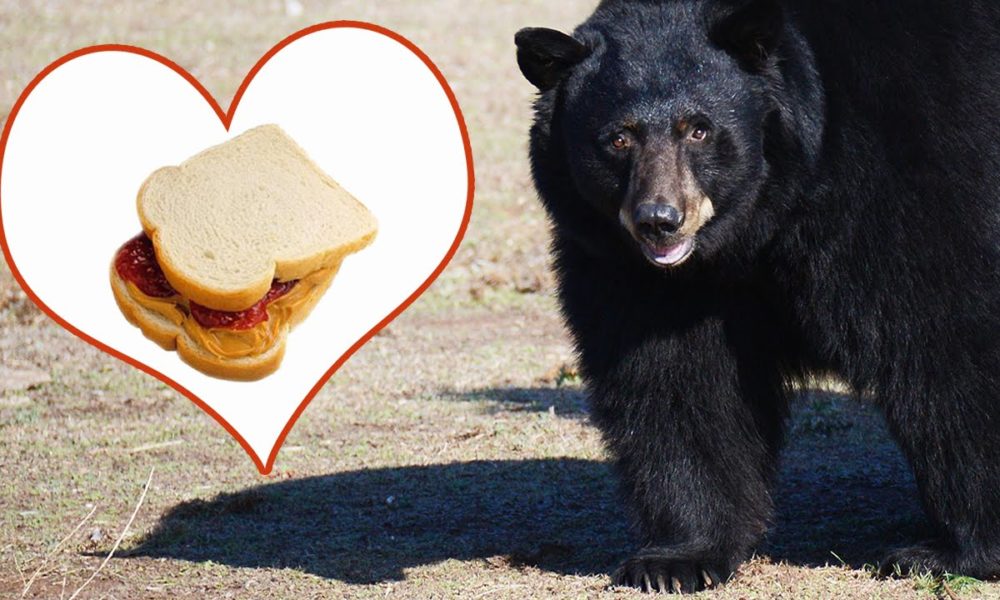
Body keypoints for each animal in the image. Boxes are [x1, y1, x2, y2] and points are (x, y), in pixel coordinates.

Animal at [515, 0, 1000, 593]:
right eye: (619, 138)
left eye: (699, 130)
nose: (659, 221)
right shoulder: (638, 273)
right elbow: (676, 379)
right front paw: (674, 560)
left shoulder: (911, 173)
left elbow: (948, 338)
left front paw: (950, 553)